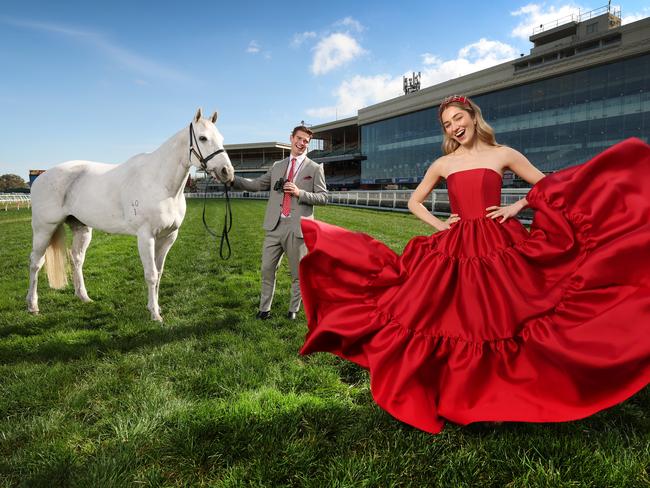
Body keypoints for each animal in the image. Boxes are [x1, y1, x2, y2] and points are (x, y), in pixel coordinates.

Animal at [29, 110, 235, 322]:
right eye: (203, 138)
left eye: (221, 138)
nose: (227, 172)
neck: (160, 183)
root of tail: (41, 177)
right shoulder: (146, 236)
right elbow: (151, 274)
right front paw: (155, 314)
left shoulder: (168, 237)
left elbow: (159, 274)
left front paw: (156, 307)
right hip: (44, 228)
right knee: (36, 262)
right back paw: (33, 306)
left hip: (82, 228)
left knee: (77, 258)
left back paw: (83, 297)